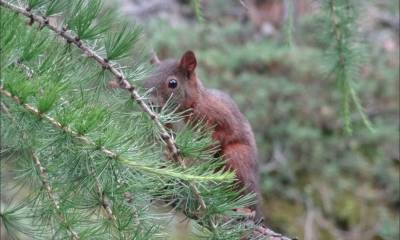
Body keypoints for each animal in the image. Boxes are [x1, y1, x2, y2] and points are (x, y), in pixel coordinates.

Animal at [144, 50, 262, 219]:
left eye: (173, 83)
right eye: (147, 77)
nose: (149, 102)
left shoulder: (218, 115)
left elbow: (220, 135)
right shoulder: (169, 128)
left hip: (237, 157)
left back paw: (244, 209)